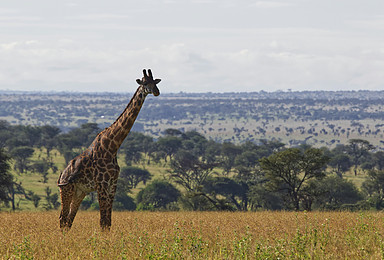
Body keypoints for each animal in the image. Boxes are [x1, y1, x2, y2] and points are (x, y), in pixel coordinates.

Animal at [57, 69, 160, 230]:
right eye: (144, 83)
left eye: (155, 82)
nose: (156, 91)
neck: (112, 147)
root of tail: (62, 174)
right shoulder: (102, 184)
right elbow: (102, 221)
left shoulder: (113, 184)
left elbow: (108, 222)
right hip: (66, 190)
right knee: (62, 218)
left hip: (79, 192)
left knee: (69, 220)